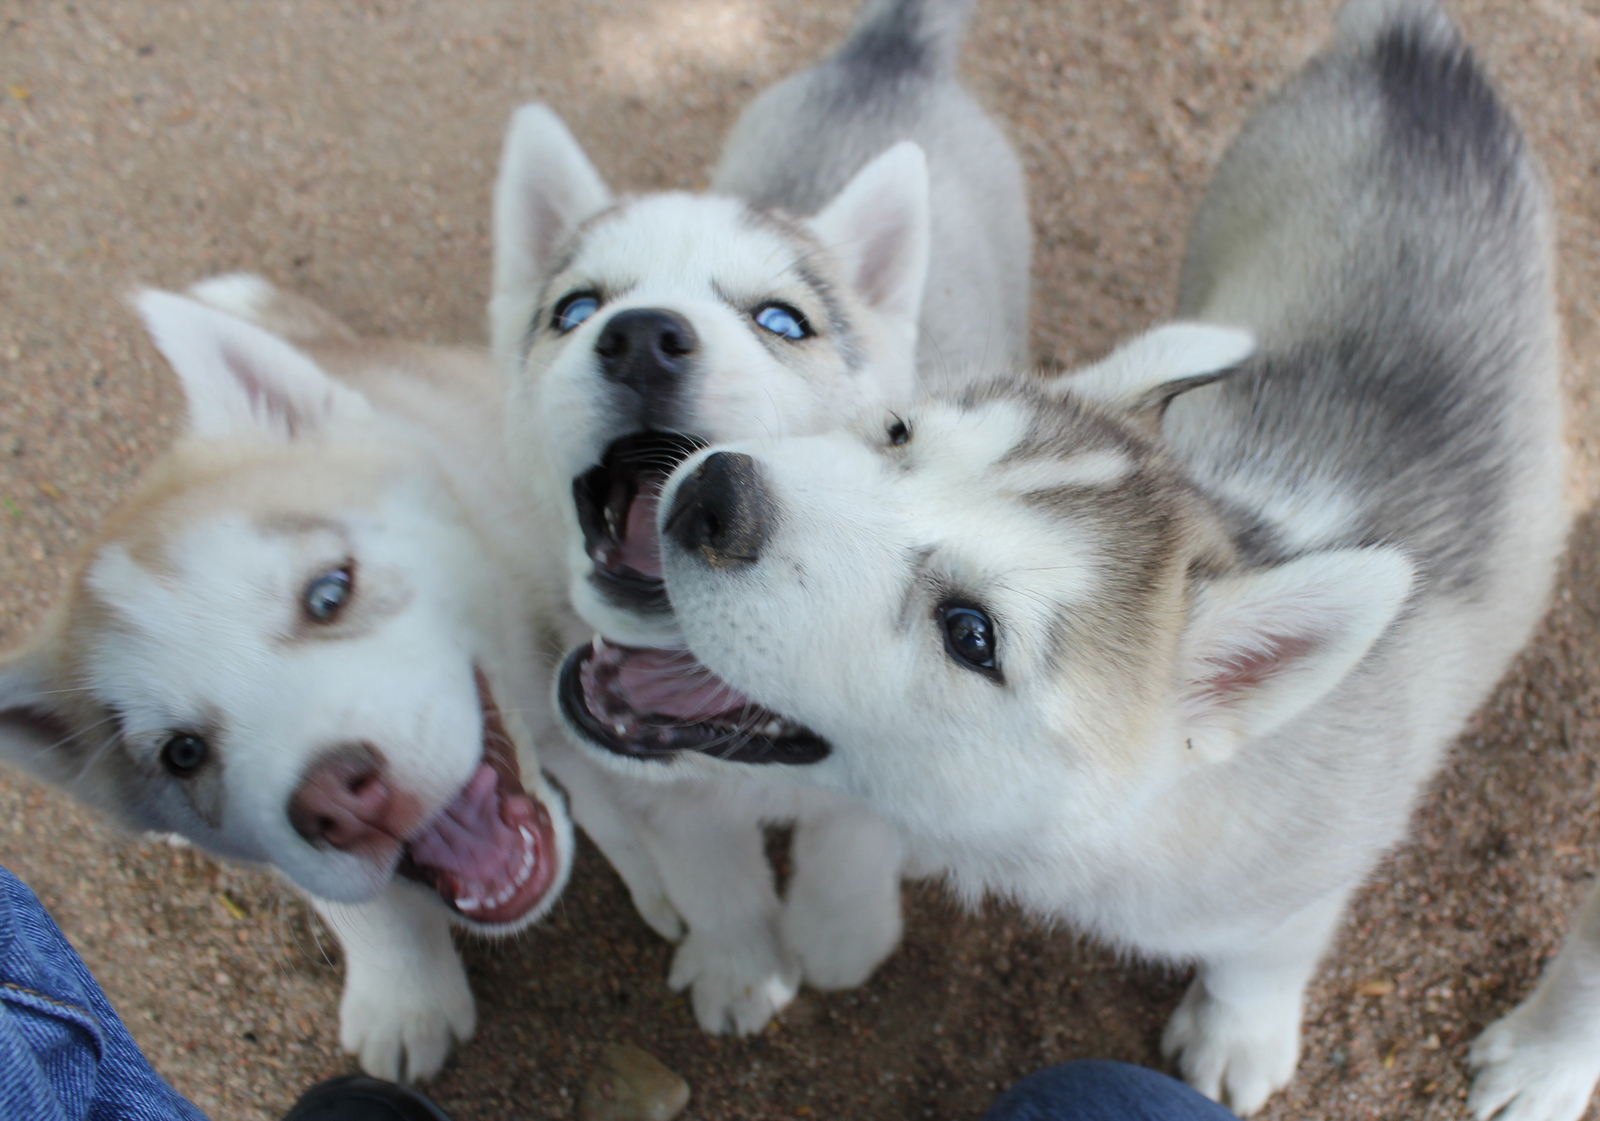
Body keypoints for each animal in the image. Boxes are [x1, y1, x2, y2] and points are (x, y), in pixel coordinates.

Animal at [0, 279, 595, 1087]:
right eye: (182, 753)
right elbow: (366, 907)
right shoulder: (290, 848)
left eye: (328, 593)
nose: (340, 797)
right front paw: (407, 998)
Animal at [492, 0, 1030, 1029]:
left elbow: (852, 840)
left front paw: (838, 932)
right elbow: (710, 872)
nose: (641, 337)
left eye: (781, 321)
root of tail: (887, 59)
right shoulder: (658, 781)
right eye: (575, 308)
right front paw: (740, 961)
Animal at [560, 0, 1561, 1106]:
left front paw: (1240, 1032)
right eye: (898, 433)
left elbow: (1261, 956)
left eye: (971, 633)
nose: (711, 496)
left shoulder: (1310, 880)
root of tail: (1414, 49)